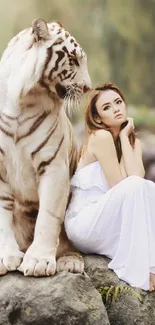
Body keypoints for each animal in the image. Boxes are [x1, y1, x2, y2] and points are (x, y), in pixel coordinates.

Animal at [0, 18, 91, 276]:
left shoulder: (53, 166)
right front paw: (6, 257)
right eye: (74, 59)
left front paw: (38, 261)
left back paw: (70, 262)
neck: (21, 101)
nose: (88, 87)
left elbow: (48, 216)